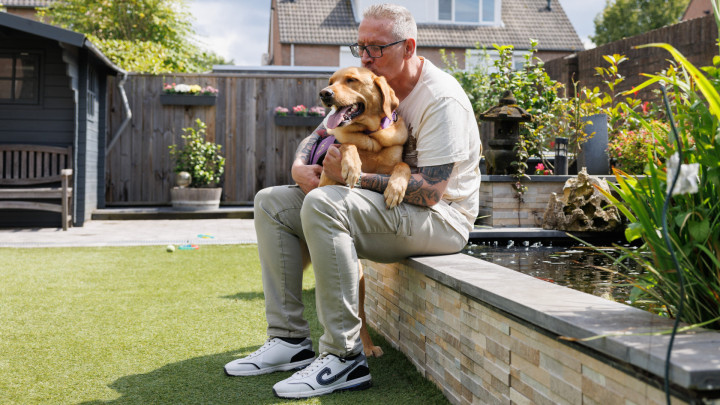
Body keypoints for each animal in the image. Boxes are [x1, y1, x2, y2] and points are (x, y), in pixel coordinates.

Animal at [306, 67, 410, 356]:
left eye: (351, 80)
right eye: (331, 82)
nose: (324, 94)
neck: (370, 137)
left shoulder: (398, 159)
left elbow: (404, 166)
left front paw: (395, 189)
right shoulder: (331, 168)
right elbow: (347, 147)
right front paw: (352, 166)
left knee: (360, 316)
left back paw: (367, 346)